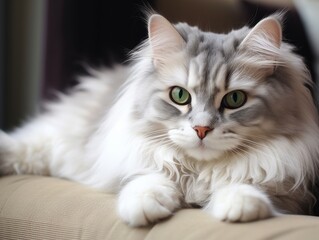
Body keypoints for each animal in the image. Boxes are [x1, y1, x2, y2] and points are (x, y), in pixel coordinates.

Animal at [0, 13, 319, 227]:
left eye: (235, 100)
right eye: (179, 95)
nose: (201, 128)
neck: (199, 173)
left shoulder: (292, 191)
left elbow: (247, 182)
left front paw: (240, 204)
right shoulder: (134, 158)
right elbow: (150, 177)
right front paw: (144, 206)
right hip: (59, 140)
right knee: (31, 146)